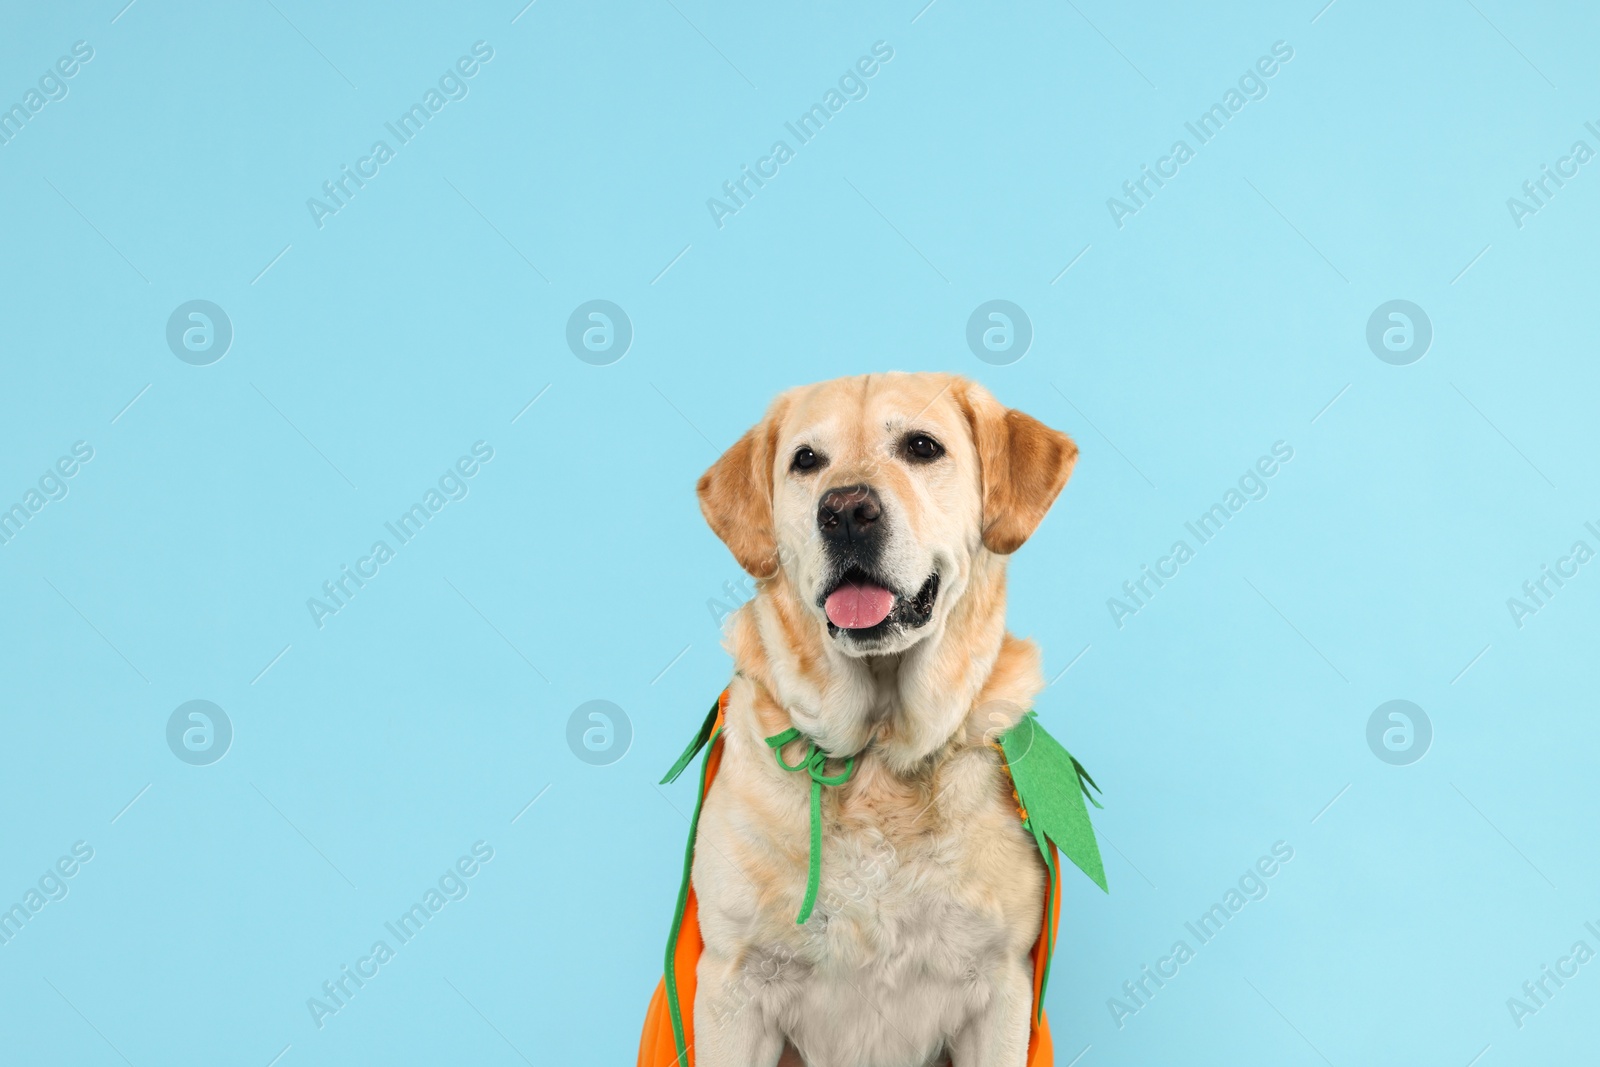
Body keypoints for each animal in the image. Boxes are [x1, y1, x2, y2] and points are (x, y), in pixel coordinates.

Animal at [688, 371, 1075, 1062]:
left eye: (922, 447)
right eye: (806, 460)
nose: (844, 511)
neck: (875, 752)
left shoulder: (1001, 986)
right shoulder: (735, 983)